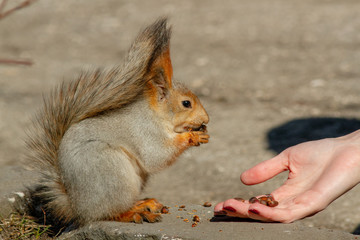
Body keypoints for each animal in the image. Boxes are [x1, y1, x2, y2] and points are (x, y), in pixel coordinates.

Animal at [25, 17, 210, 228]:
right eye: (186, 103)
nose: (206, 119)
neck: (156, 114)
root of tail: (77, 207)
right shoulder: (145, 132)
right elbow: (157, 155)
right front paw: (193, 136)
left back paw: (143, 203)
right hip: (113, 174)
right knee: (108, 213)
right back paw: (133, 213)